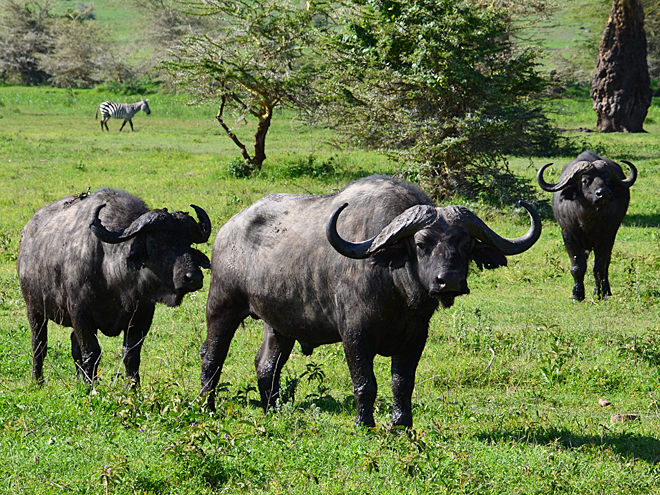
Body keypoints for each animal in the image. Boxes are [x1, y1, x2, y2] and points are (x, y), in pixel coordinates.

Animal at [16, 188, 211, 386]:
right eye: (161, 243)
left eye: (188, 242)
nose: (194, 278)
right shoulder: (80, 313)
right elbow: (91, 352)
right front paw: (91, 387)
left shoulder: (142, 314)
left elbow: (131, 354)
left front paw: (132, 387)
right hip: (34, 309)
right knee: (39, 345)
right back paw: (38, 381)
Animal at [201, 176, 540, 428]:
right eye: (421, 243)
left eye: (466, 243)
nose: (450, 280)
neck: (399, 296)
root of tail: (228, 230)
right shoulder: (355, 335)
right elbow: (366, 382)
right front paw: (364, 424)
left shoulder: (416, 337)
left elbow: (402, 382)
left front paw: (402, 425)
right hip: (222, 307)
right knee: (212, 356)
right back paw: (207, 406)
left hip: (279, 325)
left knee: (266, 365)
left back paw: (272, 410)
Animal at [540, 149, 636, 300]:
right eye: (585, 180)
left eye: (607, 179)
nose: (604, 194)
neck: (587, 221)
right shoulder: (568, 236)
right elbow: (577, 266)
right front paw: (577, 294)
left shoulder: (607, 237)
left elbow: (599, 266)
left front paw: (600, 293)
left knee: (606, 264)